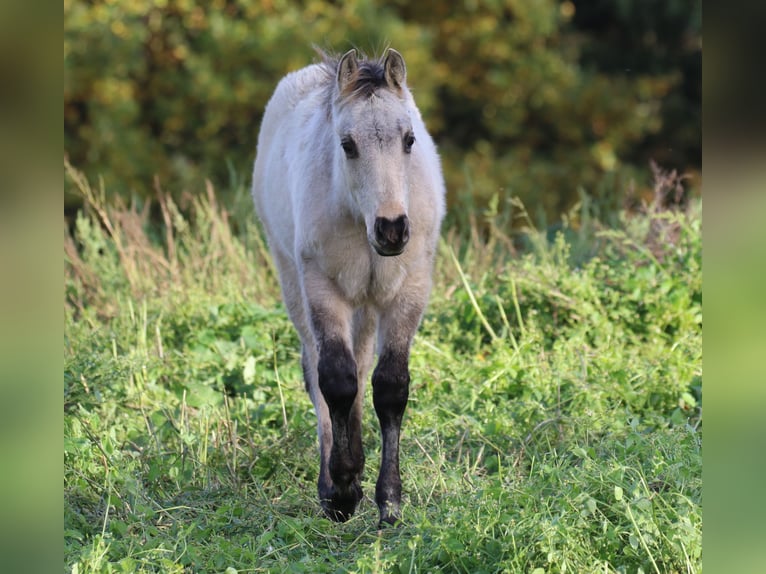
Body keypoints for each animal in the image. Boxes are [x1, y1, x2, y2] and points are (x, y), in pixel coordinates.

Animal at [251, 48, 445, 526]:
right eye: (347, 144)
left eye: (409, 139)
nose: (392, 228)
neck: (359, 218)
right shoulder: (323, 289)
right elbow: (335, 380)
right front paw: (341, 492)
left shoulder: (407, 292)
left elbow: (390, 386)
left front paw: (389, 500)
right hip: (296, 283)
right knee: (319, 372)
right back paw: (335, 480)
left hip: (369, 303)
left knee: (361, 367)